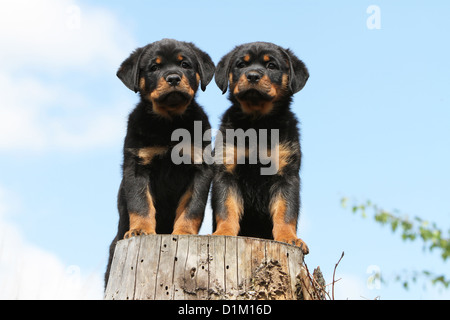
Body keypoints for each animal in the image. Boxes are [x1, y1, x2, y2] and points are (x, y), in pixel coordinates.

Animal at [107, 38, 216, 286]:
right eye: (154, 67)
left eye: (185, 64)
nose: (173, 78)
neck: (169, 123)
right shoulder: (137, 165)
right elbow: (141, 203)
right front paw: (140, 230)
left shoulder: (200, 167)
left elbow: (192, 207)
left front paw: (184, 232)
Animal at [211, 41, 310, 254]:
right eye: (241, 64)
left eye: (271, 65)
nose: (253, 75)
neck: (257, 124)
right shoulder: (226, 171)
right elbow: (226, 207)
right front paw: (223, 232)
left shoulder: (286, 174)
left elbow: (285, 210)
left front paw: (289, 238)